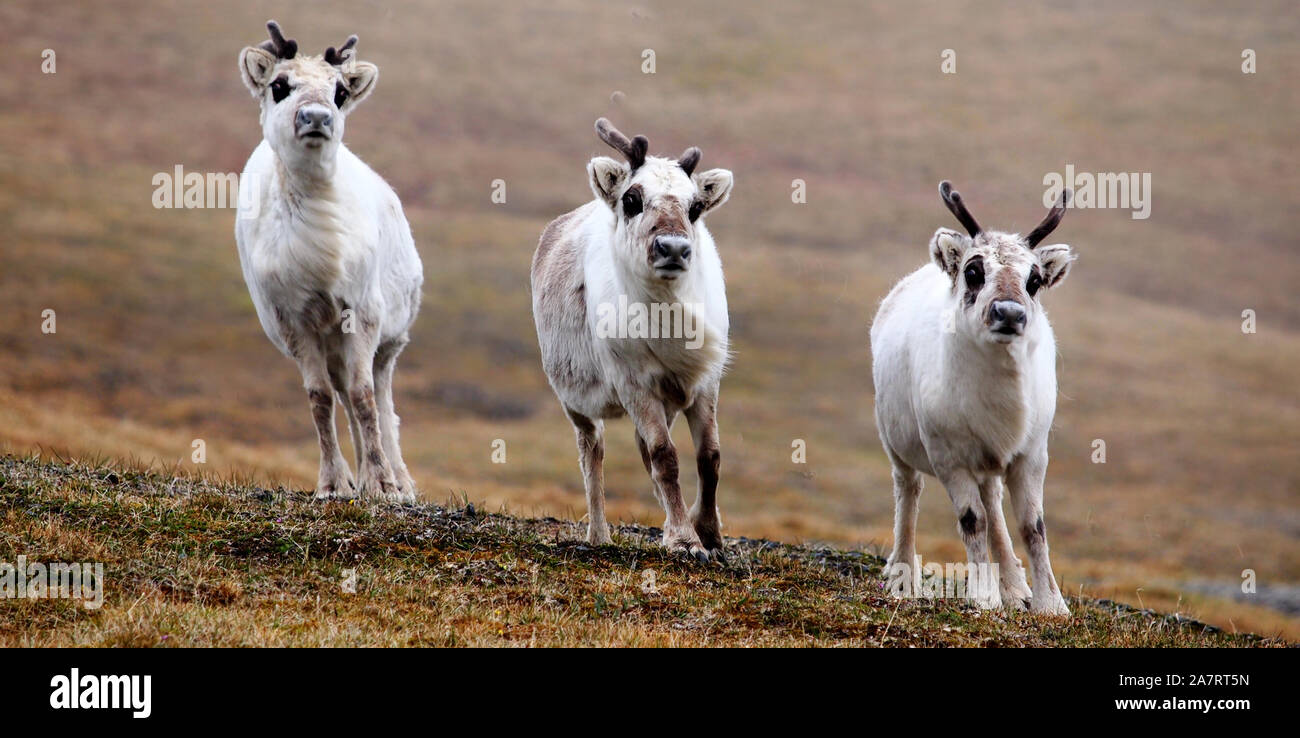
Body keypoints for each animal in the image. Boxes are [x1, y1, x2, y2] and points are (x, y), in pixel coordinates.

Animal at [234, 21, 422, 503]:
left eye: (339, 92)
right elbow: (320, 399)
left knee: (381, 398)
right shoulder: (294, 321)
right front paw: (335, 483)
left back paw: (401, 480)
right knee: (342, 394)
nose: (316, 118)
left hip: (389, 343)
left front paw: (383, 485)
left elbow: (364, 397)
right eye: (280, 85)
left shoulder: (363, 312)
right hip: (334, 345)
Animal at [531, 119, 734, 561]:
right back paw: (599, 534)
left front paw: (709, 534)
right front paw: (685, 540)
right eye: (631, 199)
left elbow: (709, 457)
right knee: (593, 450)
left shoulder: (704, 381)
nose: (673, 248)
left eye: (695, 207)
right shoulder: (634, 383)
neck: (666, 315)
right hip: (575, 400)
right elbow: (665, 456)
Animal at [870, 181, 1077, 615]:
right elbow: (971, 521)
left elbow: (1033, 526)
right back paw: (903, 577)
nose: (1009, 313)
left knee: (994, 502)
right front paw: (984, 598)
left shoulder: (1032, 454)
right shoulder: (949, 458)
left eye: (1034, 280)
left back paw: (1015, 586)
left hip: (990, 463)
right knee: (908, 492)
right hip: (895, 443)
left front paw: (1050, 604)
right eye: (973, 271)